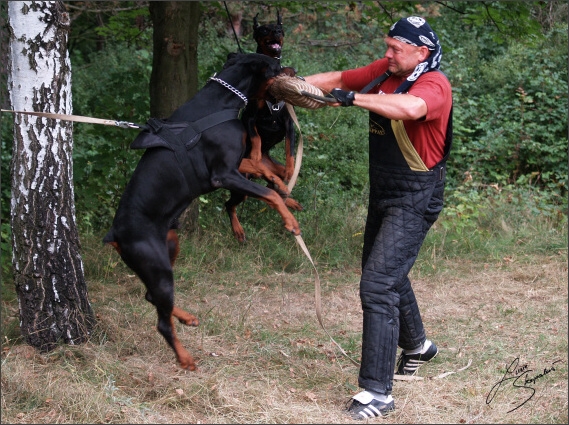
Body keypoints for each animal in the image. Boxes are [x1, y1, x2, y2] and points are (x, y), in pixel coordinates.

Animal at [106, 53, 302, 372]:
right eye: (275, 66)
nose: (294, 69)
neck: (220, 102)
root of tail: (115, 234)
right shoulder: (222, 173)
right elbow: (268, 186)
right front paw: (290, 220)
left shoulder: (232, 165)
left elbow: (262, 166)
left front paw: (285, 184)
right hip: (157, 265)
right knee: (161, 322)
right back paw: (185, 359)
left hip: (170, 245)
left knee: (152, 296)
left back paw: (186, 317)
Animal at [224, 10, 302, 242]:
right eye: (264, 29)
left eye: (280, 28)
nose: (276, 31)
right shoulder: (250, 117)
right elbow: (256, 136)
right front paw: (256, 154)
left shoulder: (288, 122)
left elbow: (290, 148)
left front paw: (290, 168)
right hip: (241, 185)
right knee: (229, 204)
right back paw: (238, 230)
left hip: (273, 169)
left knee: (277, 183)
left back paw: (288, 196)